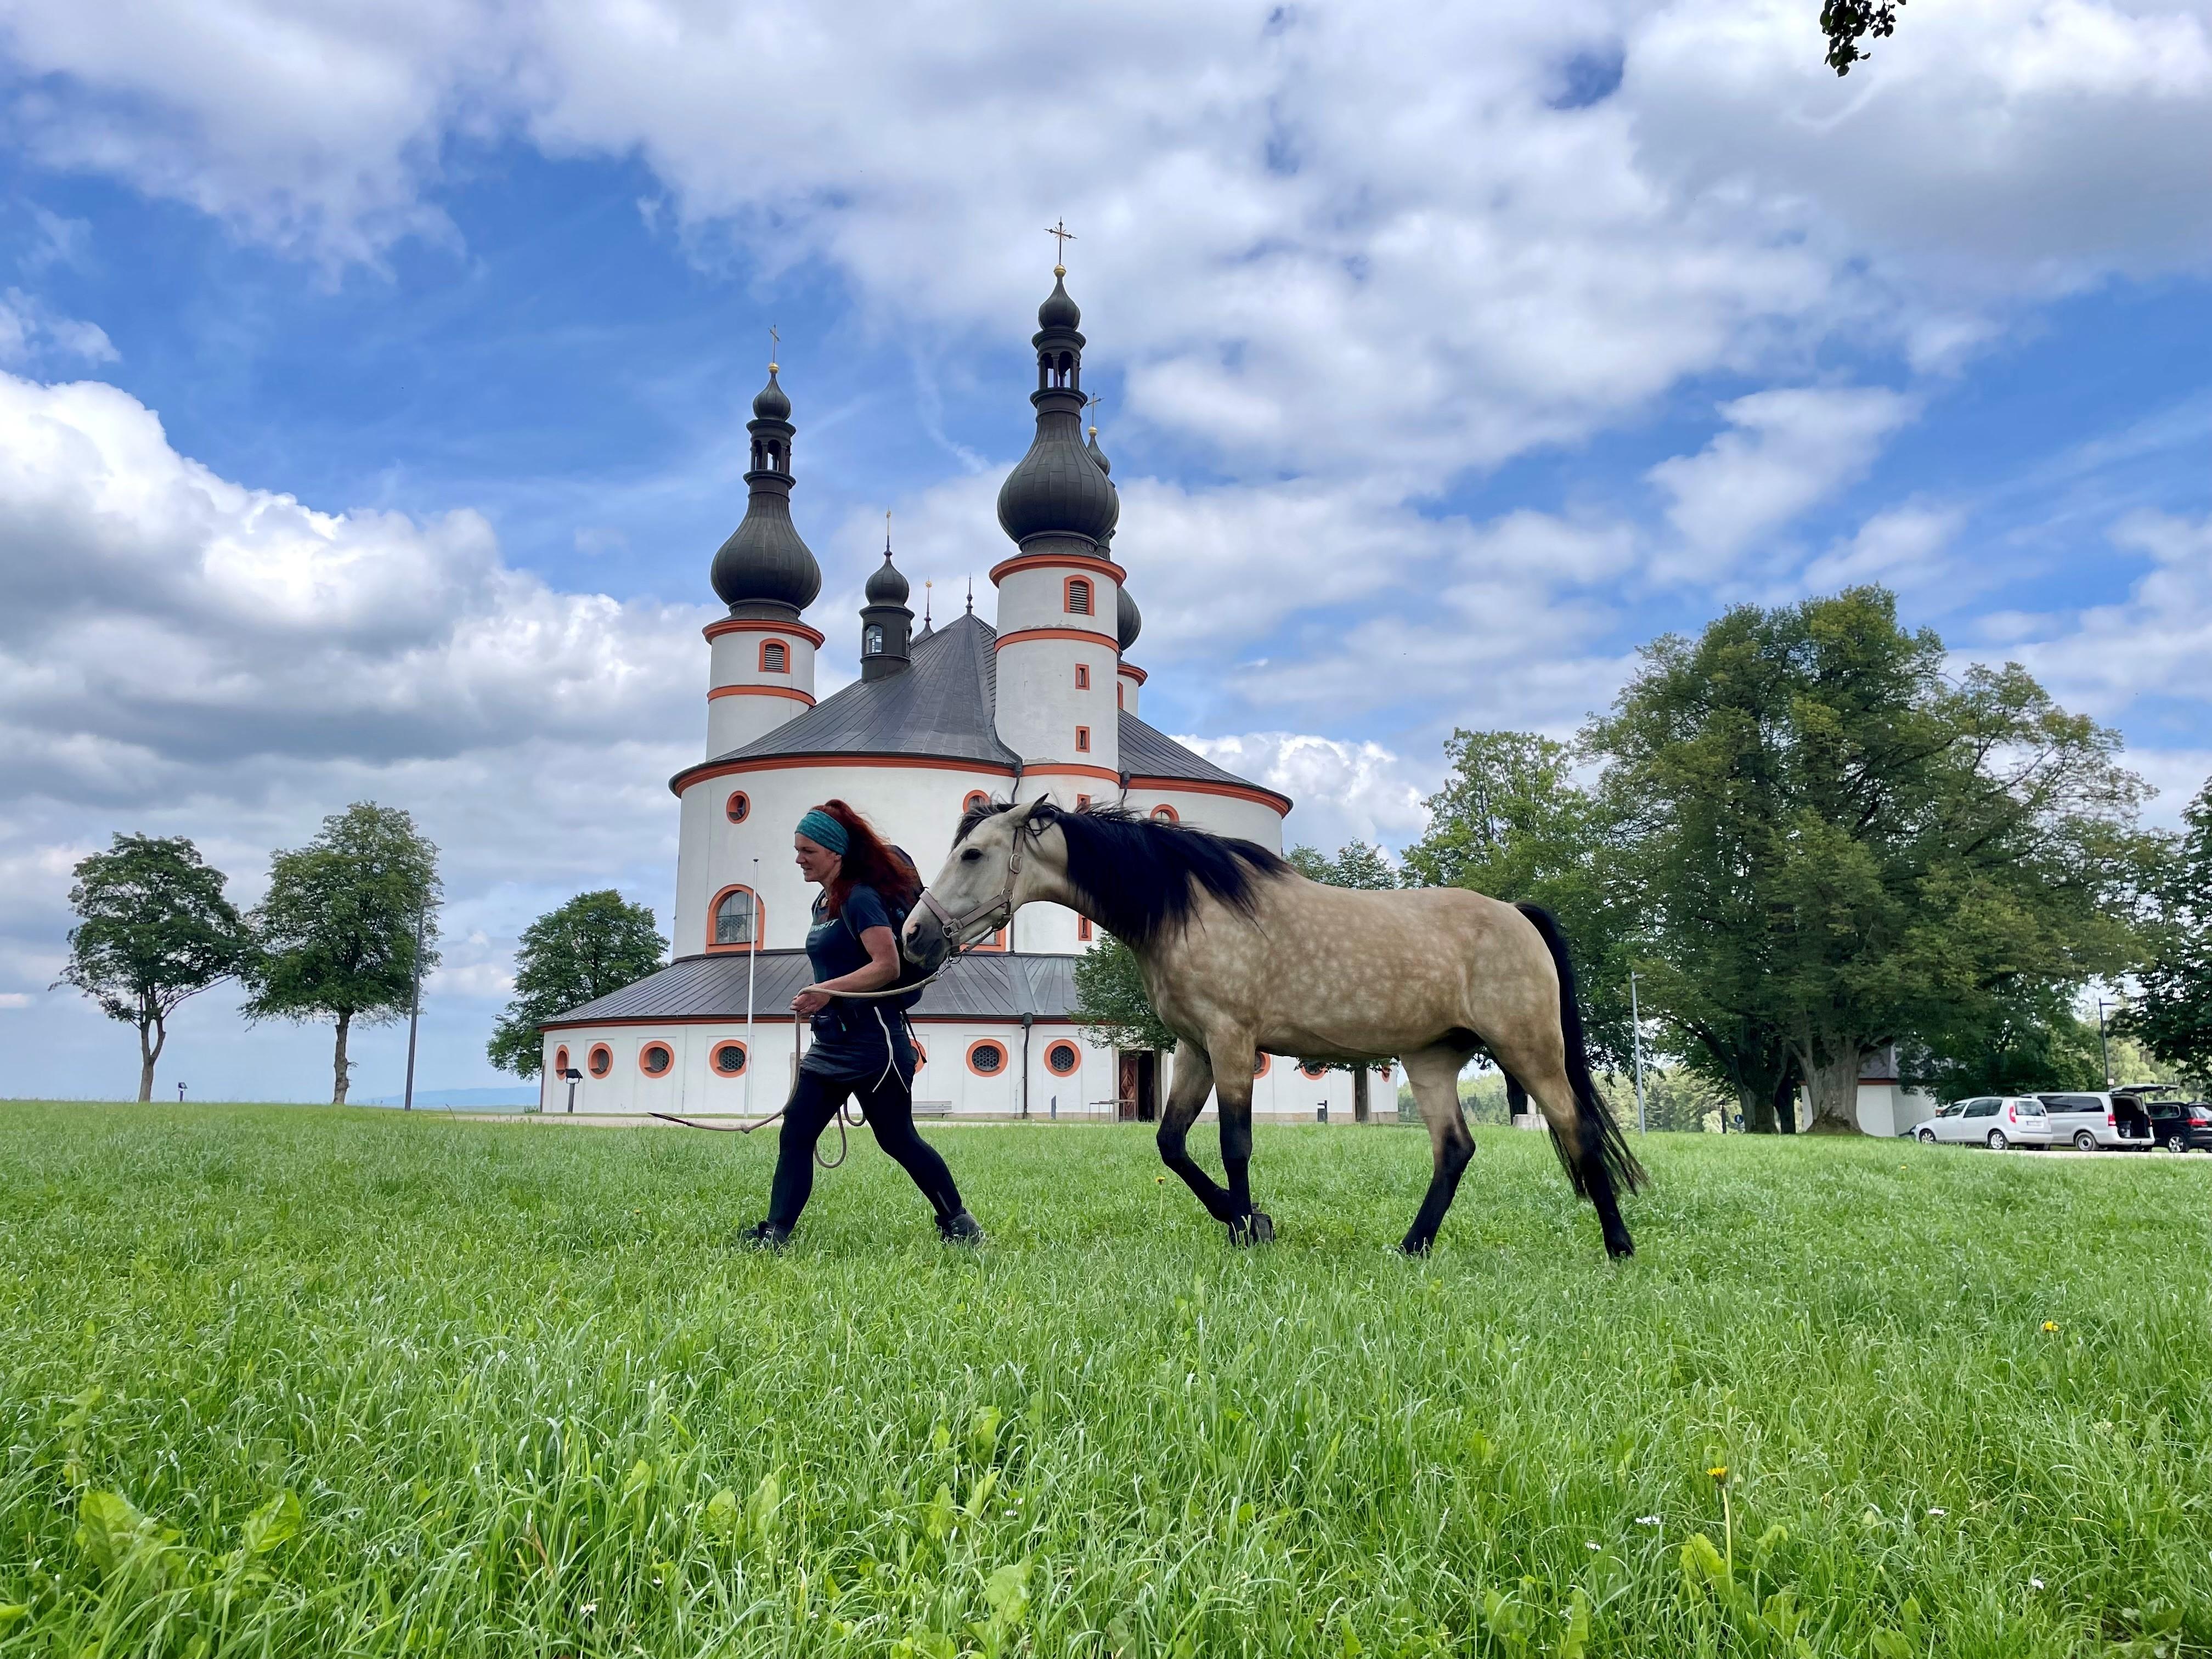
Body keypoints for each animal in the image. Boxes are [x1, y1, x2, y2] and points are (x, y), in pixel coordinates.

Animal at [903, 798, 1645, 1257]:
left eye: (973, 854)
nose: (915, 935)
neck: (1185, 907)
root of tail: (1518, 914)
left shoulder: (1232, 1043)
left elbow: (1234, 1144)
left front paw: (1248, 1227)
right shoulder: (1194, 1048)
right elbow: (1172, 1145)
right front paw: (1244, 1219)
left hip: (1530, 1049)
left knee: (1576, 1129)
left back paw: (1618, 1246)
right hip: (1431, 1058)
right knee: (1455, 1149)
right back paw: (1412, 1245)